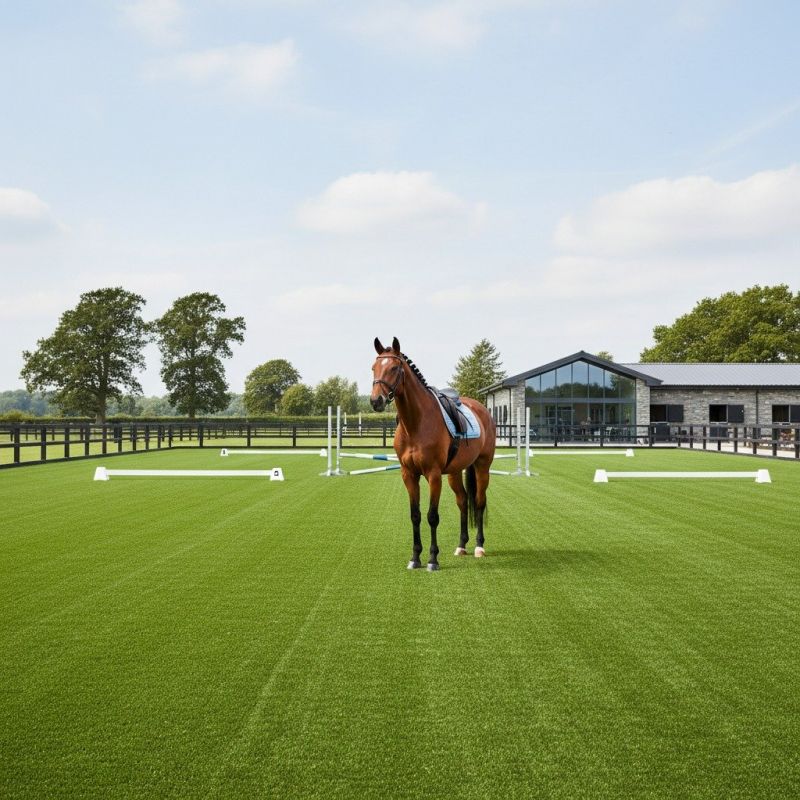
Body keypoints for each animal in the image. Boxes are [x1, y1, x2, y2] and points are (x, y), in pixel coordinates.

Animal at [370, 337, 496, 571]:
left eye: (394, 368)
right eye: (373, 367)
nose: (376, 401)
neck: (416, 423)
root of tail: (481, 408)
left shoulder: (433, 475)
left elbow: (432, 516)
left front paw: (432, 559)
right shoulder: (409, 475)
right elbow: (415, 515)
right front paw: (415, 558)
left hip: (483, 467)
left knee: (479, 502)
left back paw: (478, 547)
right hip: (455, 472)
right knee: (463, 501)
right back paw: (461, 546)